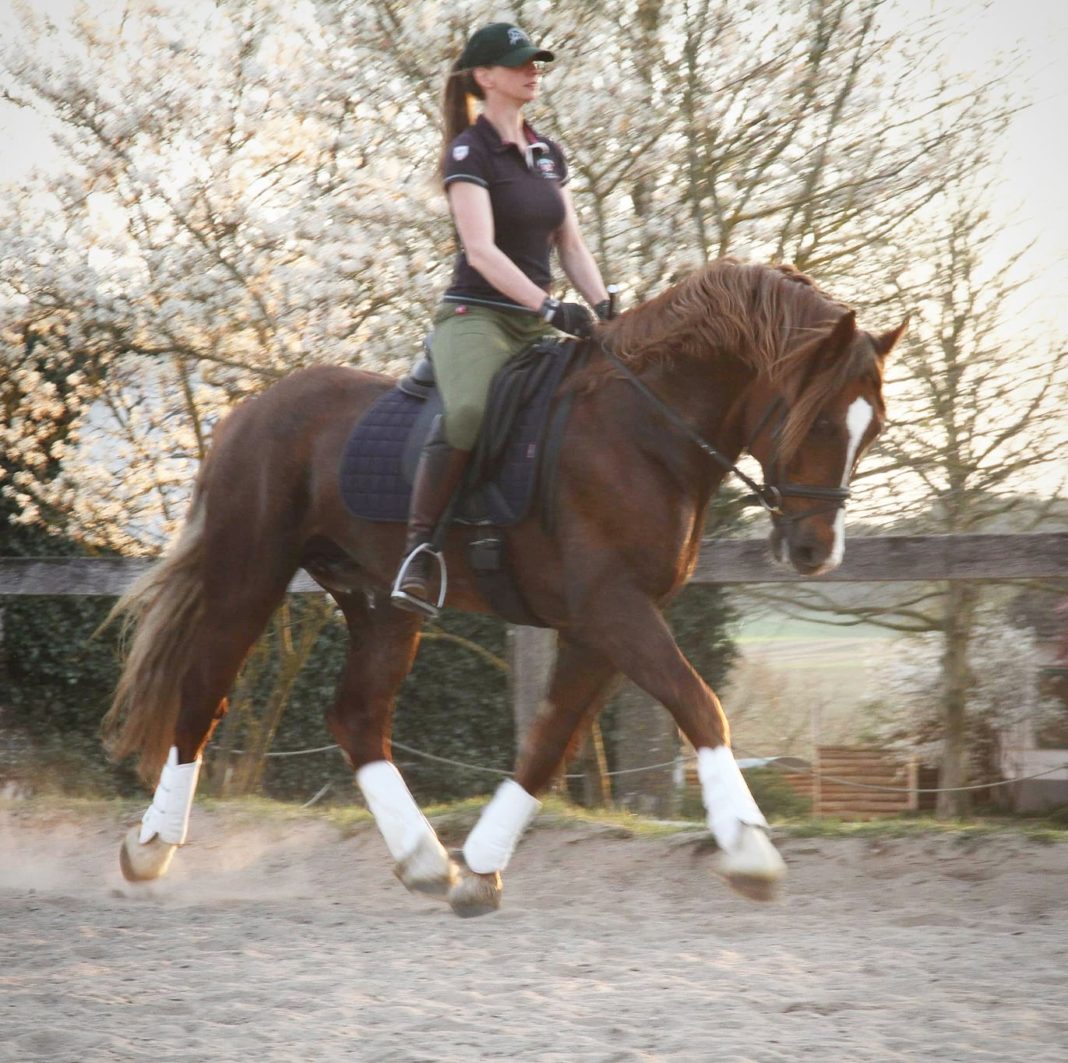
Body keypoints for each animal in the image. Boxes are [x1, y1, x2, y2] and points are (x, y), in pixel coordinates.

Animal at [104, 259, 901, 914]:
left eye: (873, 430)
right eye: (819, 421)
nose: (815, 551)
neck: (644, 429)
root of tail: (252, 408)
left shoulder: (600, 624)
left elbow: (549, 741)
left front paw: (481, 866)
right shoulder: (612, 609)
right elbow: (701, 706)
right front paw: (750, 849)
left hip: (381, 603)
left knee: (357, 716)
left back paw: (426, 862)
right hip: (250, 574)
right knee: (203, 693)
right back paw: (150, 847)